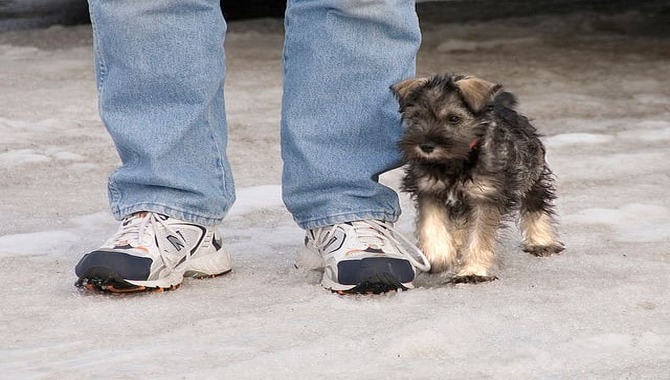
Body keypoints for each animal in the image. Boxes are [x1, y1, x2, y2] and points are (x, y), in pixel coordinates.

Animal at [394, 73, 568, 282]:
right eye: (416, 117)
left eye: (454, 118)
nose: (426, 146)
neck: (455, 161)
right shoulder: (429, 191)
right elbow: (432, 225)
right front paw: (439, 257)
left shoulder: (485, 197)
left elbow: (479, 235)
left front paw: (473, 271)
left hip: (531, 175)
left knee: (535, 206)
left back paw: (541, 242)